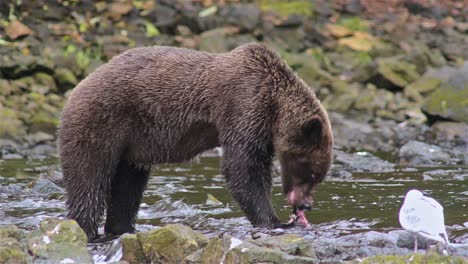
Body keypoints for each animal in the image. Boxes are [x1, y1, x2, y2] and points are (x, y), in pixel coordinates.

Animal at [57, 42, 332, 240]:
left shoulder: (259, 127)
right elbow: (242, 168)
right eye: (312, 173)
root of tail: (76, 89)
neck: (274, 105)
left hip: (130, 149)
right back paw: (86, 229)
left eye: (318, 177)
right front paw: (274, 221)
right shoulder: (243, 106)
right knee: (89, 181)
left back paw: (121, 229)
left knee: (127, 188)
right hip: (101, 124)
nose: (305, 205)